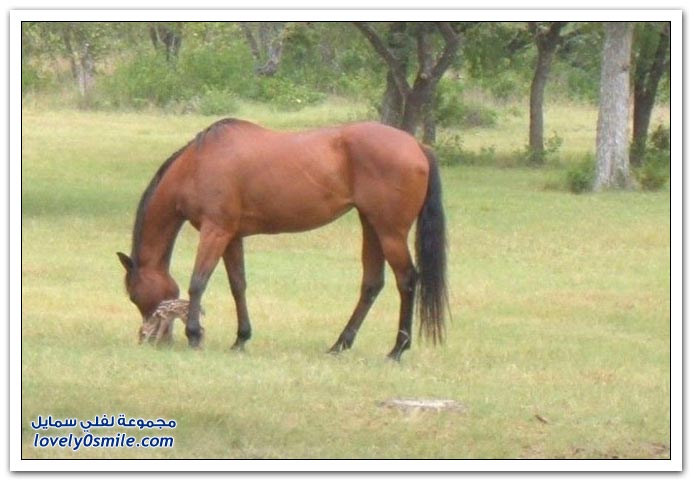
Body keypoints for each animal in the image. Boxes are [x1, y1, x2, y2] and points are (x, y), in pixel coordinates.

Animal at [118, 119, 448, 360]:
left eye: (134, 295)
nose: (149, 339)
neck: (197, 164)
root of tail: (417, 145)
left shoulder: (216, 231)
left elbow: (198, 283)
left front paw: (195, 335)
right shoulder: (232, 237)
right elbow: (238, 286)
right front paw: (241, 339)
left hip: (390, 231)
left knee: (407, 280)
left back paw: (397, 350)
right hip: (372, 225)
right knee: (372, 284)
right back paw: (340, 344)